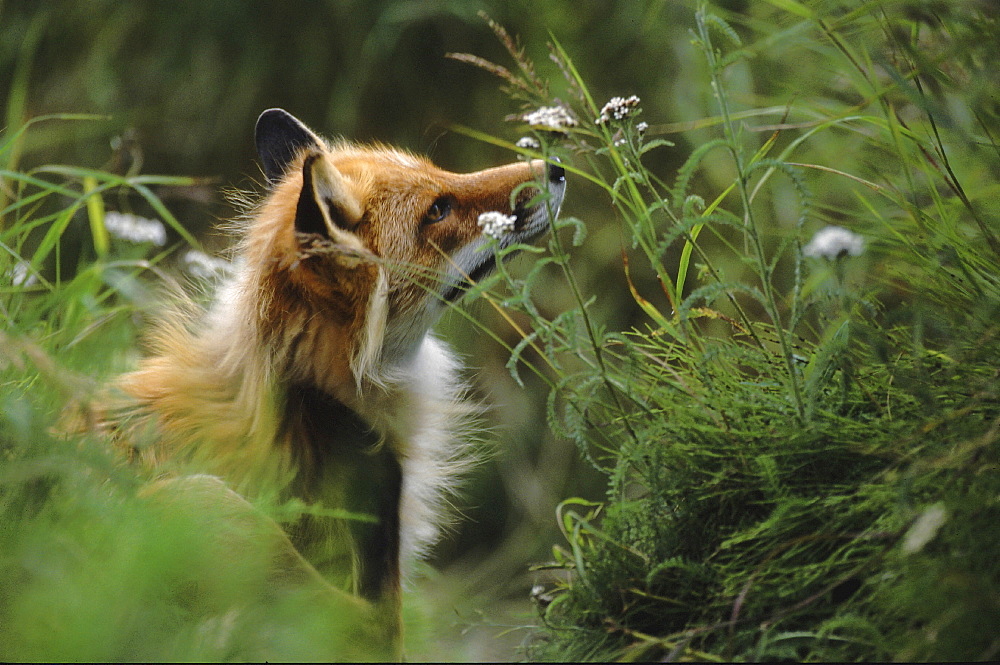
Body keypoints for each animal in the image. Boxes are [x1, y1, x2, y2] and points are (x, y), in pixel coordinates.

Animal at [108, 107, 568, 648]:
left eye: (444, 174)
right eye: (438, 210)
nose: (557, 168)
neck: (312, 390)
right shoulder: (373, 589)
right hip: (199, 501)